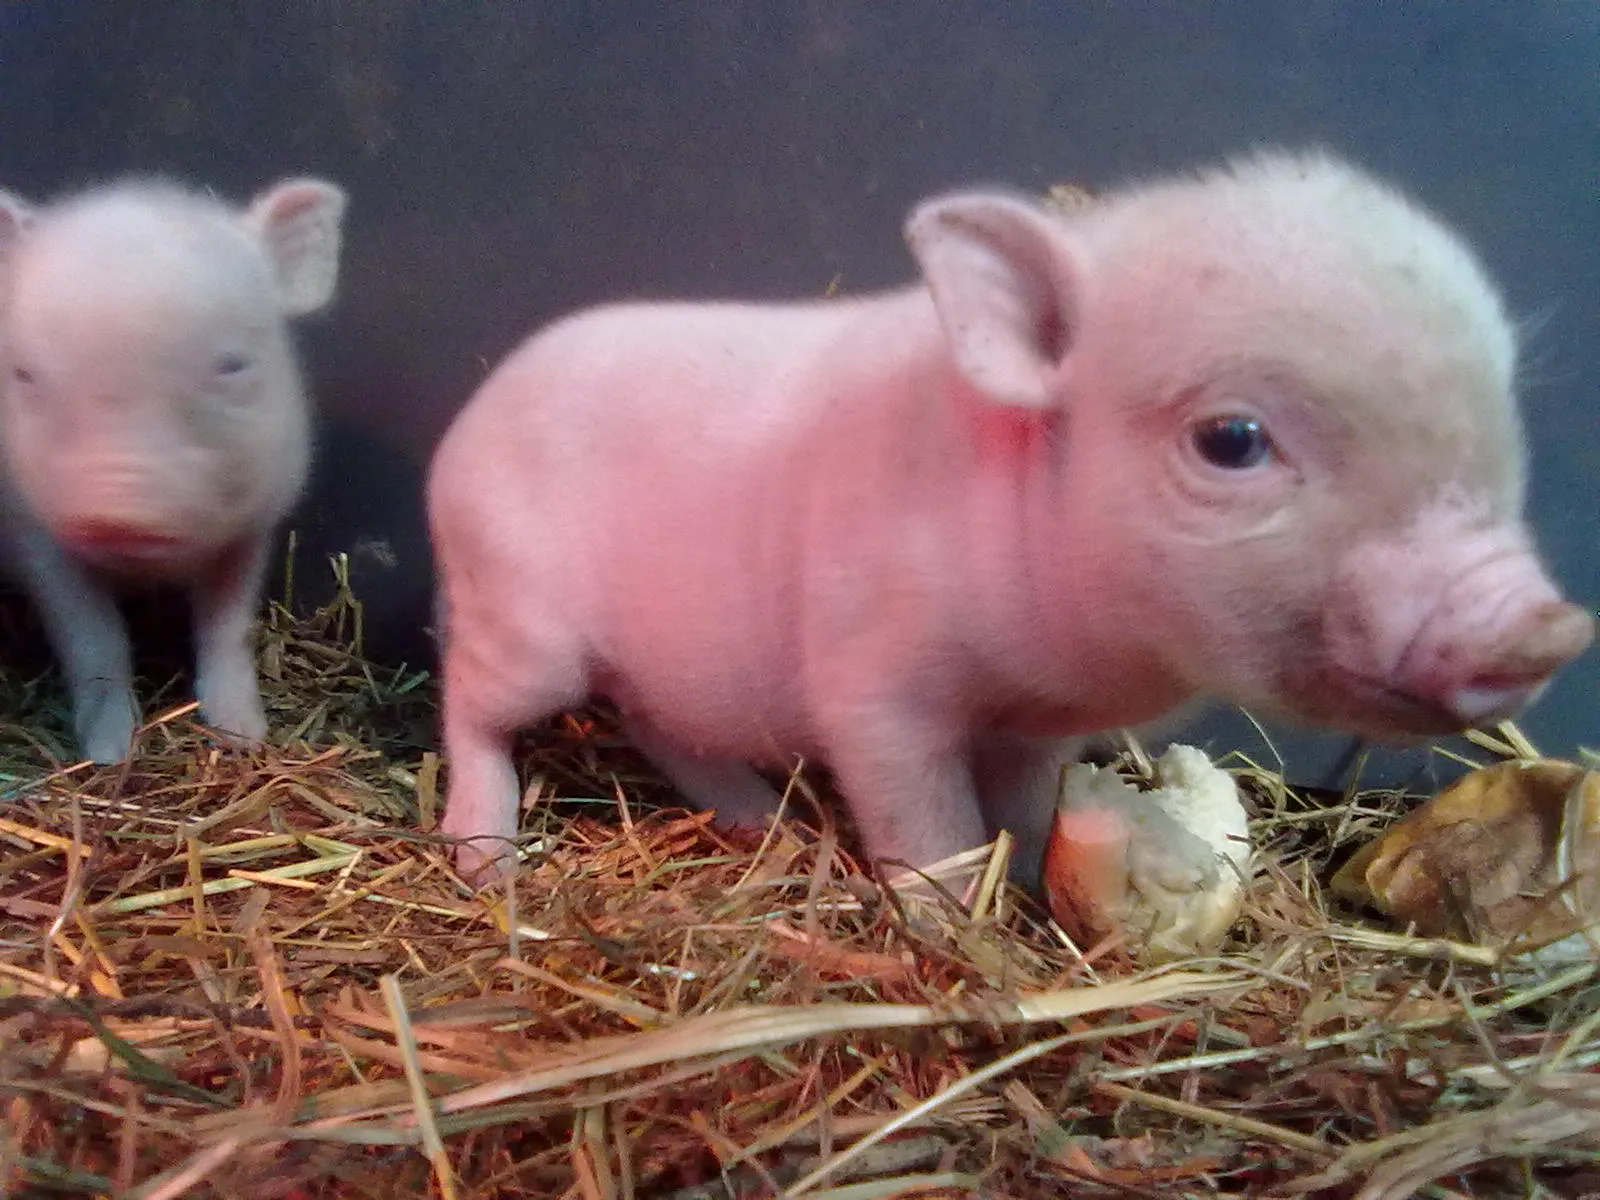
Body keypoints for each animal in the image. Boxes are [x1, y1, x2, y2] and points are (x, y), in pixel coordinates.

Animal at [0, 176, 346, 763]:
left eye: (232, 365)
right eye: (23, 373)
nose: (119, 514)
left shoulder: (254, 525)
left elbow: (226, 626)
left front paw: (243, 737)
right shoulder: (35, 535)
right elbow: (92, 637)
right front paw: (110, 752)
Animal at [427, 148, 1594, 885]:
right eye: (1231, 438)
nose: (1551, 625)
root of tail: (461, 428)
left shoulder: (1037, 728)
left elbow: (1029, 812)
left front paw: (1031, 888)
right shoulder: (873, 686)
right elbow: (925, 822)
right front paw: (955, 931)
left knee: (654, 722)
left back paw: (764, 821)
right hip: (519, 616)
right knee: (473, 700)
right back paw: (486, 865)